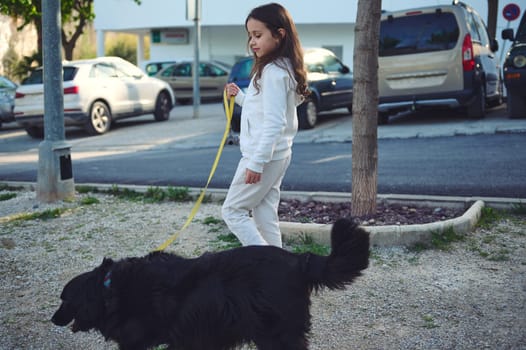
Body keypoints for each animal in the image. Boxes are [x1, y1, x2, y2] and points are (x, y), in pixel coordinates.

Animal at [51, 217, 370, 348]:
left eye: (64, 300)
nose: (53, 319)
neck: (109, 289)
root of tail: (297, 260)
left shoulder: (136, 342)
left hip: (275, 333)